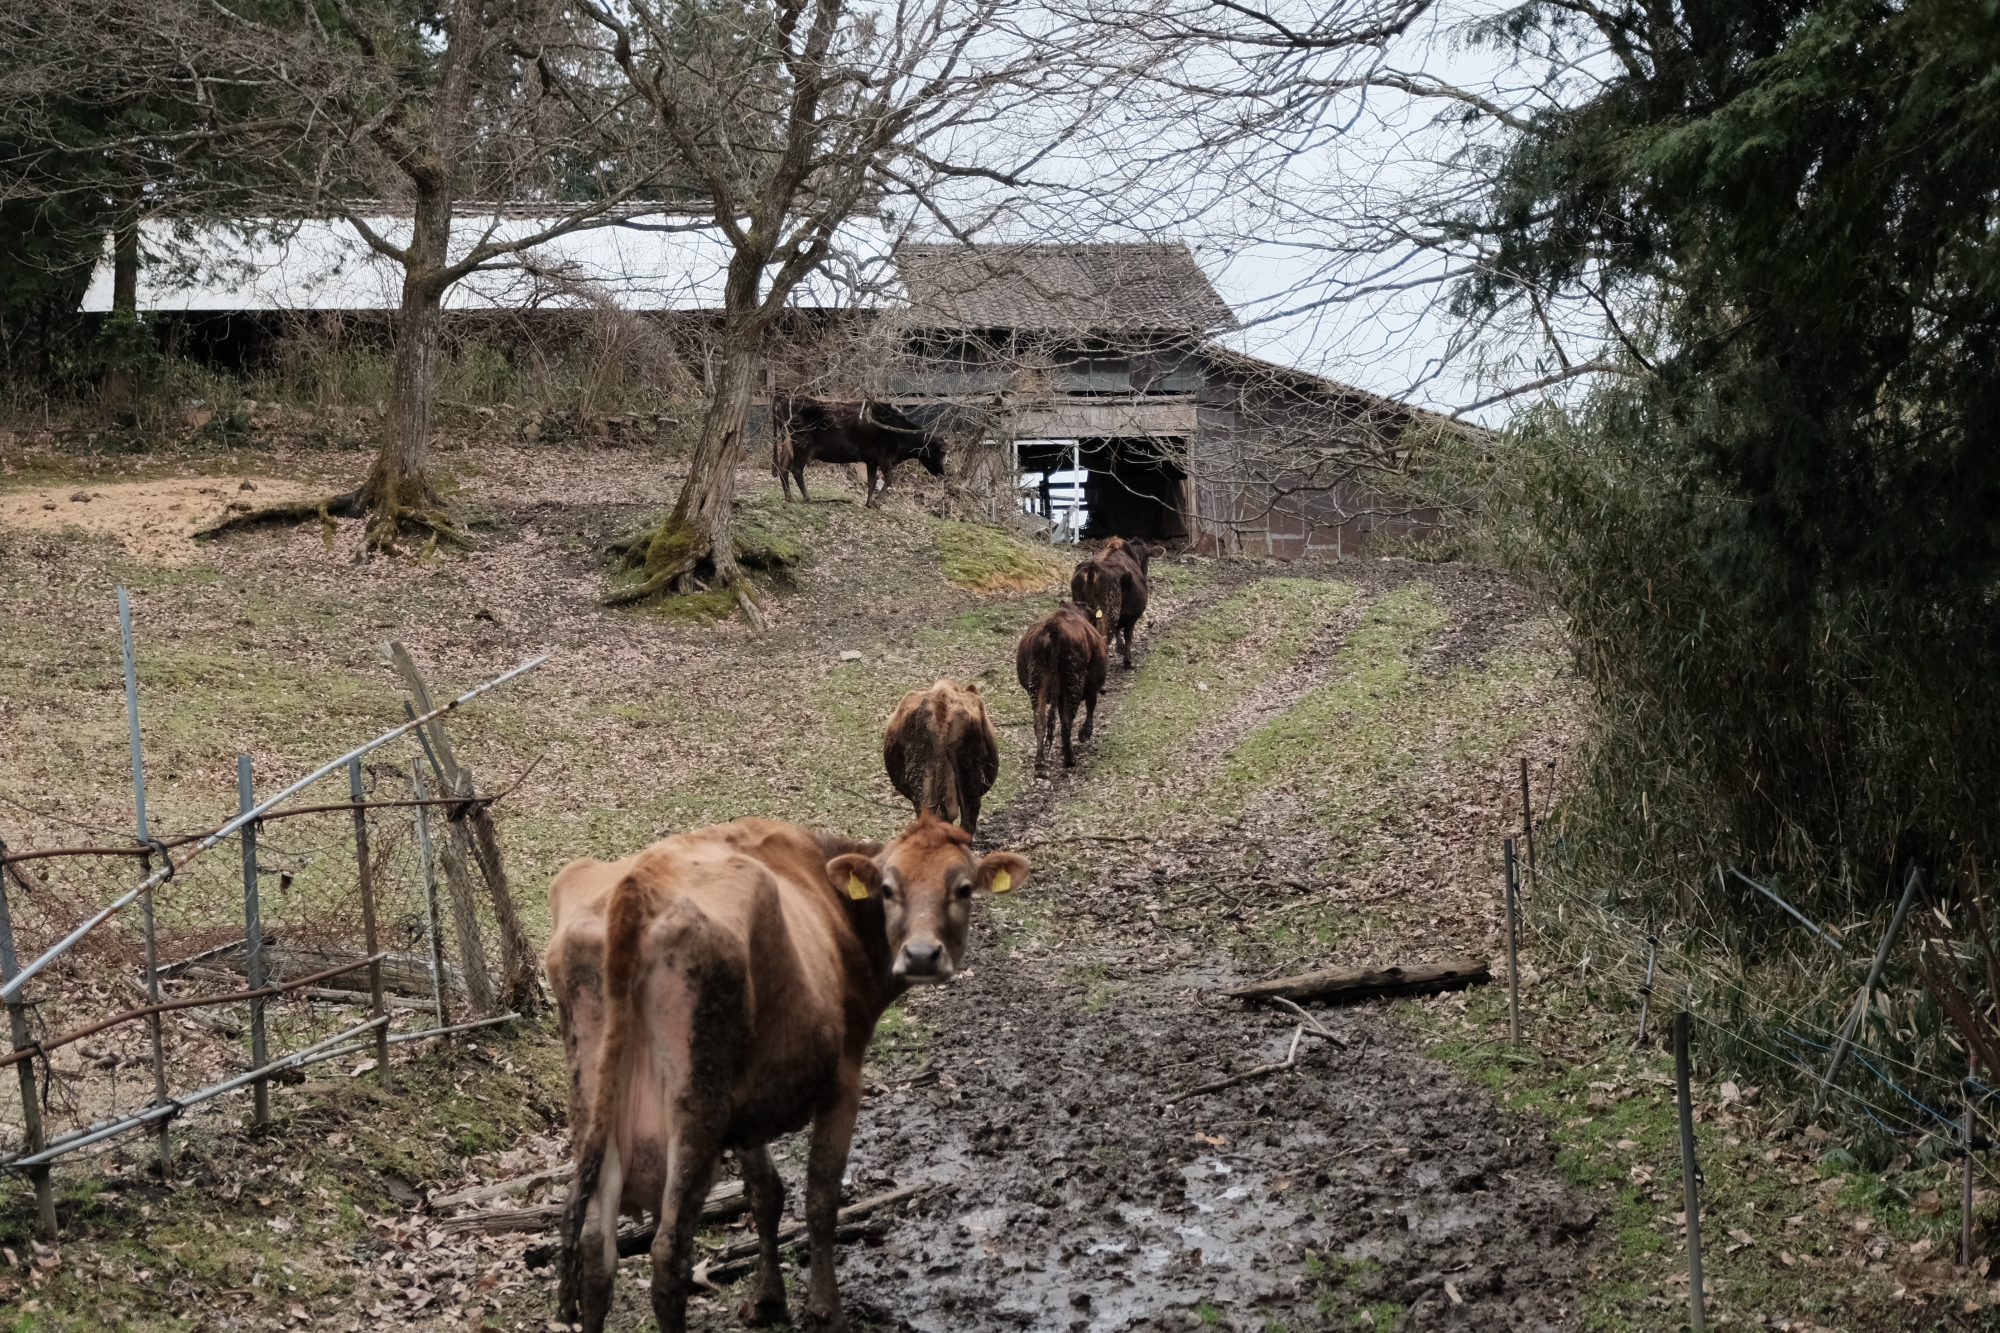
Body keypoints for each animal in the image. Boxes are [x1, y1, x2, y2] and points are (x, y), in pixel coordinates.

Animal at [548, 808, 1032, 1328]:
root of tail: (638, 882)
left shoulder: (748, 1104)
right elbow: (820, 1197)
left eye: (963, 888)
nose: (922, 954)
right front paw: (825, 1310)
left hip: (593, 1095)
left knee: (597, 1251)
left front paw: (767, 1299)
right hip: (696, 1101)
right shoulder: (843, 1082)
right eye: (887, 888)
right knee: (668, 1252)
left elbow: (767, 1193)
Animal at [768, 396, 948, 506]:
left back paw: (789, 497)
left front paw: (869, 503)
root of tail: (786, 398)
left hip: (788, 444)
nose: (942, 472)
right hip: (802, 445)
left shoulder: (872, 460)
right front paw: (877, 503)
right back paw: (808, 498)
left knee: (783, 469)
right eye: (941, 452)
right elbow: (889, 479)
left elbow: (872, 482)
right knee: (796, 470)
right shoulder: (884, 458)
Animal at [1016, 600, 1112, 768]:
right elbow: (1091, 703)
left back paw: (1040, 765)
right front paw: (1085, 733)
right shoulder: (1093, 682)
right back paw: (1069, 758)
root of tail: (1053, 628)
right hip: (1074, 681)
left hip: (1038, 682)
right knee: (1067, 721)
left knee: (1040, 722)